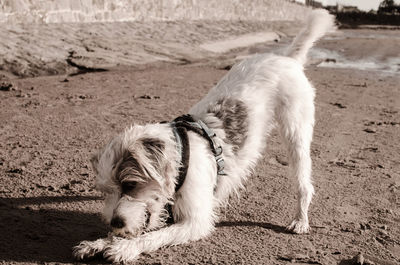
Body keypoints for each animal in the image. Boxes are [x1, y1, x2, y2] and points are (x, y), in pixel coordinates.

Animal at [72, 8, 334, 262]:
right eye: (106, 191)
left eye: (130, 184)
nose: (114, 222)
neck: (183, 157)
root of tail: (285, 57)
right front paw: (99, 243)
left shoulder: (195, 221)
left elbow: (154, 236)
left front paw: (123, 248)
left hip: (296, 134)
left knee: (304, 183)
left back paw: (300, 219)